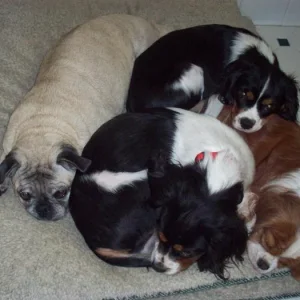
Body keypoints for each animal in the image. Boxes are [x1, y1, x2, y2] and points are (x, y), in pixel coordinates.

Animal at [126, 25, 298, 133]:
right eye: (243, 94)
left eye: (270, 106)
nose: (246, 124)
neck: (253, 55)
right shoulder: (218, 92)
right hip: (194, 71)